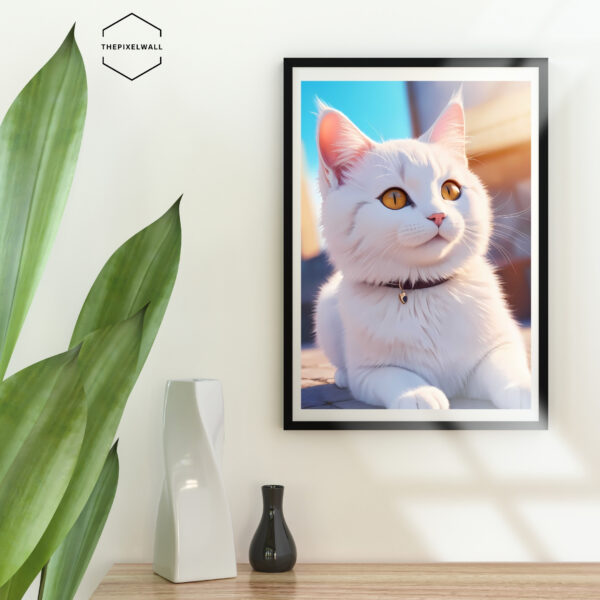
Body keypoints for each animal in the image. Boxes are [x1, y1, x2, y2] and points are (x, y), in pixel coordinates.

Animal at [314, 94, 528, 410]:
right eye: (394, 198)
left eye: (450, 190)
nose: (438, 215)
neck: (423, 291)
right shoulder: (367, 373)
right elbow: (397, 376)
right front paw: (418, 394)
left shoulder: (502, 343)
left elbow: (506, 368)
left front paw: (524, 391)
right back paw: (341, 376)